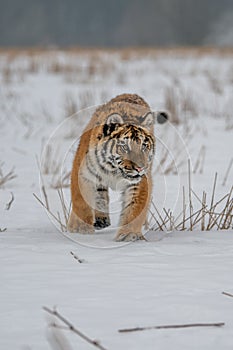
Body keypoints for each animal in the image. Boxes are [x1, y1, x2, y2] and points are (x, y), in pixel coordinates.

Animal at [67, 93, 167, 241]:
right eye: (125, 147)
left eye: (144, 146)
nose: (140, 168)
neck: (114, 170)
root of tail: (131, 94)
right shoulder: (83, 174)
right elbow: (81, 202)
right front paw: (80, 230)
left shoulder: (139, 182)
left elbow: (134, 208)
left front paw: (129, 235)